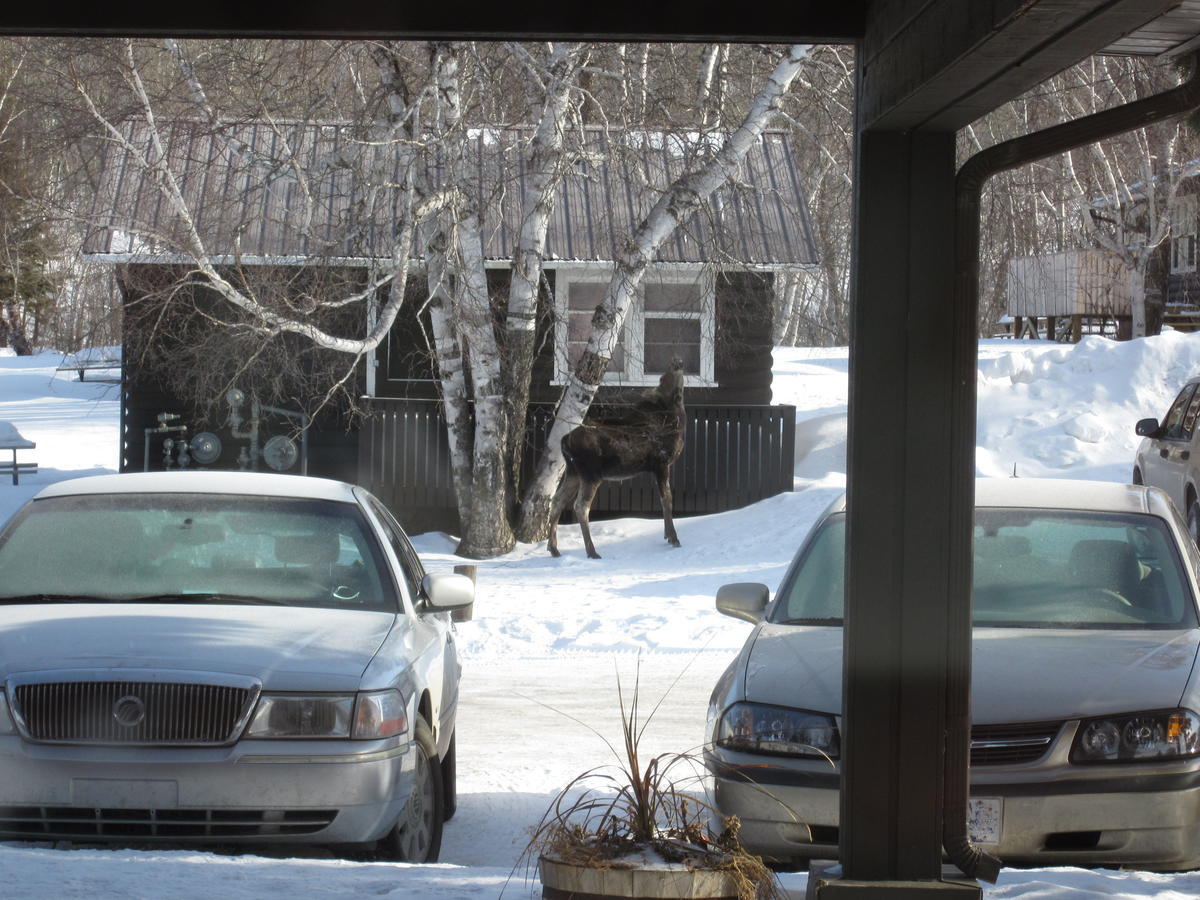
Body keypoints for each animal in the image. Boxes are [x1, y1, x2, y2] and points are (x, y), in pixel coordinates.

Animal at [549, 357, 691, 556]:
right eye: (665, 377)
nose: (677, 361)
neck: (675, 421)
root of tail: (565, 441)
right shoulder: (662, 463)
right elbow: (667, 500)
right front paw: (674, 538)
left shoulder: (658, 467)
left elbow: (664, 500)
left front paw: (667, 535)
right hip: (591, 474)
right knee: (580, 506)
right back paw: (592, 551)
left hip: (573, 472)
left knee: (557, 501)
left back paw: (554, 548)